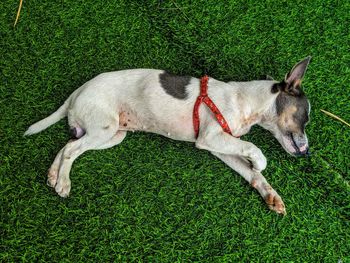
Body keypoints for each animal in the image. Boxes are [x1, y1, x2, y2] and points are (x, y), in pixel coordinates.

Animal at [23, 56, 312, 216]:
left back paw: (53, 174)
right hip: (104, 128)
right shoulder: (210, 138)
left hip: (112, 134)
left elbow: (251, 172)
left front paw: (270, 194)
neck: (247, 103)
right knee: (72, 150)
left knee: (68, 145)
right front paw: (260, 162)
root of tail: (77, 91)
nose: (307, 151)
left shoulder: (219, 146)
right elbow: (254, 149)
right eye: (304, 117)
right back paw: (63, 183)